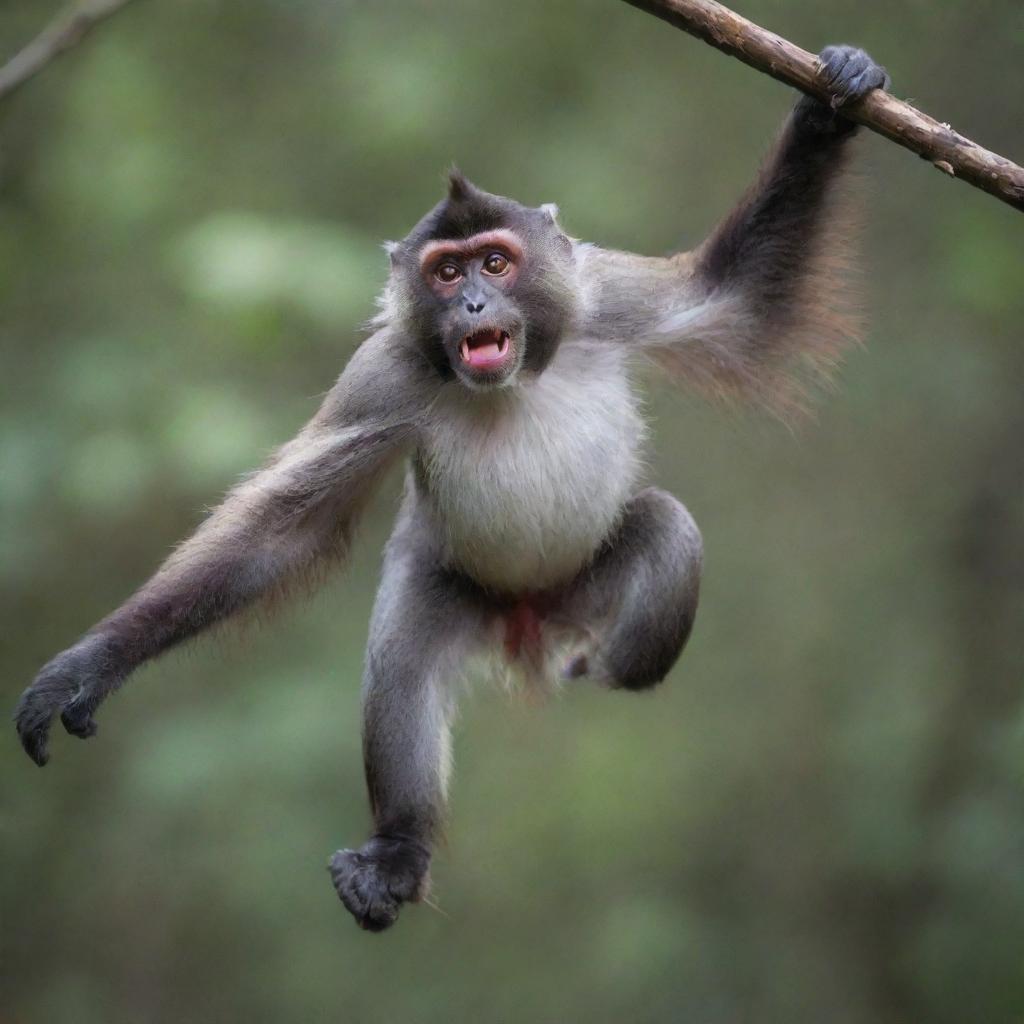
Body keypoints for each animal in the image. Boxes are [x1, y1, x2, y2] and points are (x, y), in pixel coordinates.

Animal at [12, 48, 884, 933]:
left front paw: (830, 106)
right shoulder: (384, 375)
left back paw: (602, 665)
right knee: (401, 666)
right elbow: (281, 532)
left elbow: (734, 298)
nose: (471, 302)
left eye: (496, 262)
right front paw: (93, 665)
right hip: (448, 587)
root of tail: (530, 619)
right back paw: (397, 852)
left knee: (663, 546)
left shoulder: (603, 292)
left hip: (588, 588)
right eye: (446, 270)